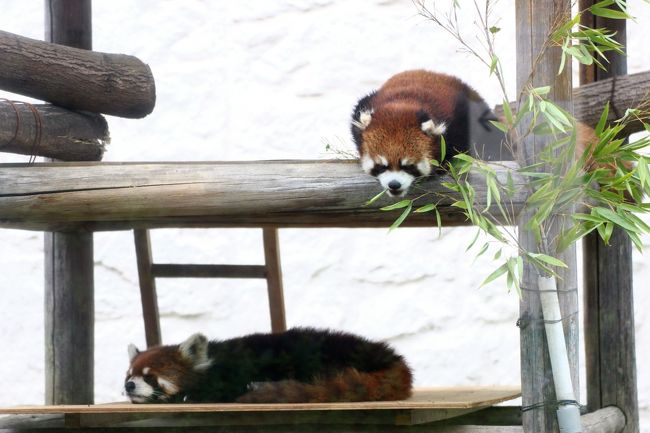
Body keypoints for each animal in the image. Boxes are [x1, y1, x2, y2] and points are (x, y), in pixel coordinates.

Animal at [123, 326, 410, 404]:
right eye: (129, 375)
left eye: (149, 376)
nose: (129, 386)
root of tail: (389, 356)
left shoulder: (234, 370)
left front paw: (187, 396)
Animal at [350, 69, 502, 197]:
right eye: (381, 166)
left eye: (409, 166)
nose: (394, 184)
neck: (405, 101)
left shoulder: (459, 120)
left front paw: (443, 165)